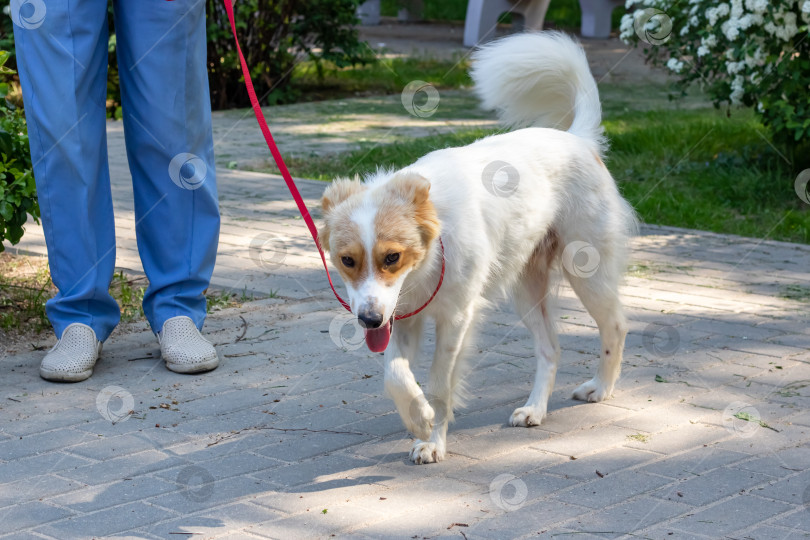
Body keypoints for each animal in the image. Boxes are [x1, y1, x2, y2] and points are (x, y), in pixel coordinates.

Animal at [318, 31, 636, 464]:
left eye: (392, 258)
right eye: (347, 260)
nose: (367, 320)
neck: (430, 257)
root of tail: (578, 139)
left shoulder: (456, 318)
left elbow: (439, 384)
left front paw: (433, 439)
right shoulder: (402, 317)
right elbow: (395, 375)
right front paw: (418, 417)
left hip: (588, 270)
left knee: (615, 326)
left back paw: (601, 388)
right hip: (526, 289)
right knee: (550, 348)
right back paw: (535, 409)